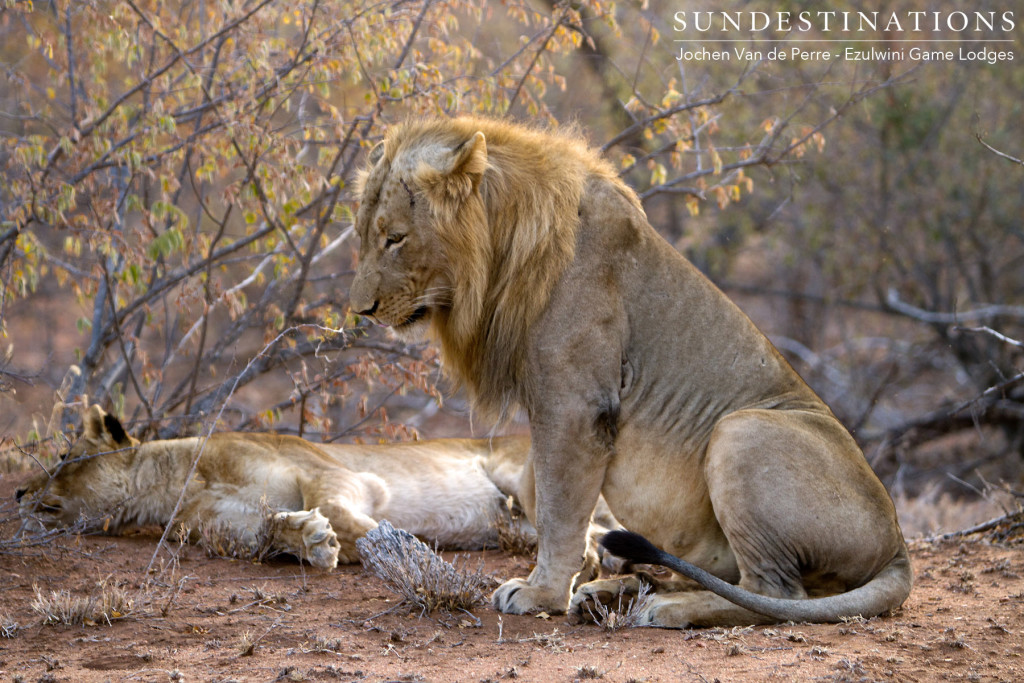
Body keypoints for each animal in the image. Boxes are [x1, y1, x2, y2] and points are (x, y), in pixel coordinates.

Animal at [18, 403, 614, 569]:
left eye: (64, 456)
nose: (19, 494)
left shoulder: (334, 472)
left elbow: (347, 512)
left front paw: (398, 548)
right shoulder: (224, 528)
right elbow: (268, 530)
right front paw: (311, 540)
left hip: (525, 476)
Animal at [350, 116, 913, 626]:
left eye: (395, 238)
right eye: (362, 236)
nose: (361, 310)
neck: (500, 253)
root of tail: (899, 549)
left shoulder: (575, 403)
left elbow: (558, 508)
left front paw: (541, 594)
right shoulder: (555, 403)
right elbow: (537, 488)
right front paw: (575, 574)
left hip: (741, 430)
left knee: (776, 595)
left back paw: (665, 607)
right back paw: (614, 591)